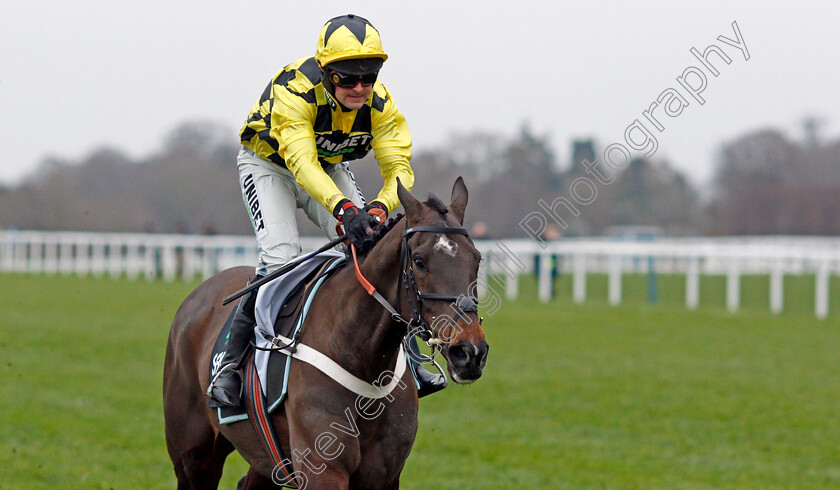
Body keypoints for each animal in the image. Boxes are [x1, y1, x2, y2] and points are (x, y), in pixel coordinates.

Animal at [163, 178, 488, 488]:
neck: (362, 359)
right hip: (193, 458)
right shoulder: (323, 470)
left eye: (477, 260)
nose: (470, 352)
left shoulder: (383, 475)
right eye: (419, 261)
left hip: (266, 460)